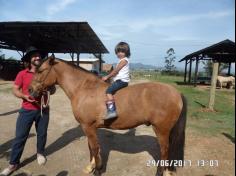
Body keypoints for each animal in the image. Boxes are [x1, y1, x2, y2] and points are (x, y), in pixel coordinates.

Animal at [29, 55, 187, 176]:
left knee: (164, 150)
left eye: (41, 70)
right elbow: (91, 147)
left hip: (161, 130)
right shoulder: (89, 128)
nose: (30, 90)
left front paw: (98, 170)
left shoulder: (88, 126)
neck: (84, 88)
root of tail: (176, 92)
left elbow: (94, 148)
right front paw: (91, 167)